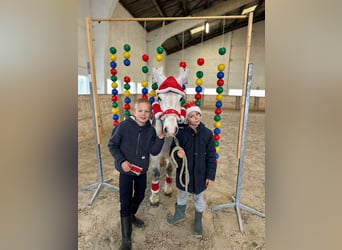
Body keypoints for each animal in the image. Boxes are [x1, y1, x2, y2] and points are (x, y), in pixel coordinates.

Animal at [148, 66, 188, 205]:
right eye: (159, 98)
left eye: (181, 99)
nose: (170, 130)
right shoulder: (153, 155)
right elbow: (155, 173)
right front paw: (154, 198)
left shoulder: (171, 153)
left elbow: (170, 169)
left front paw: (168, 189)